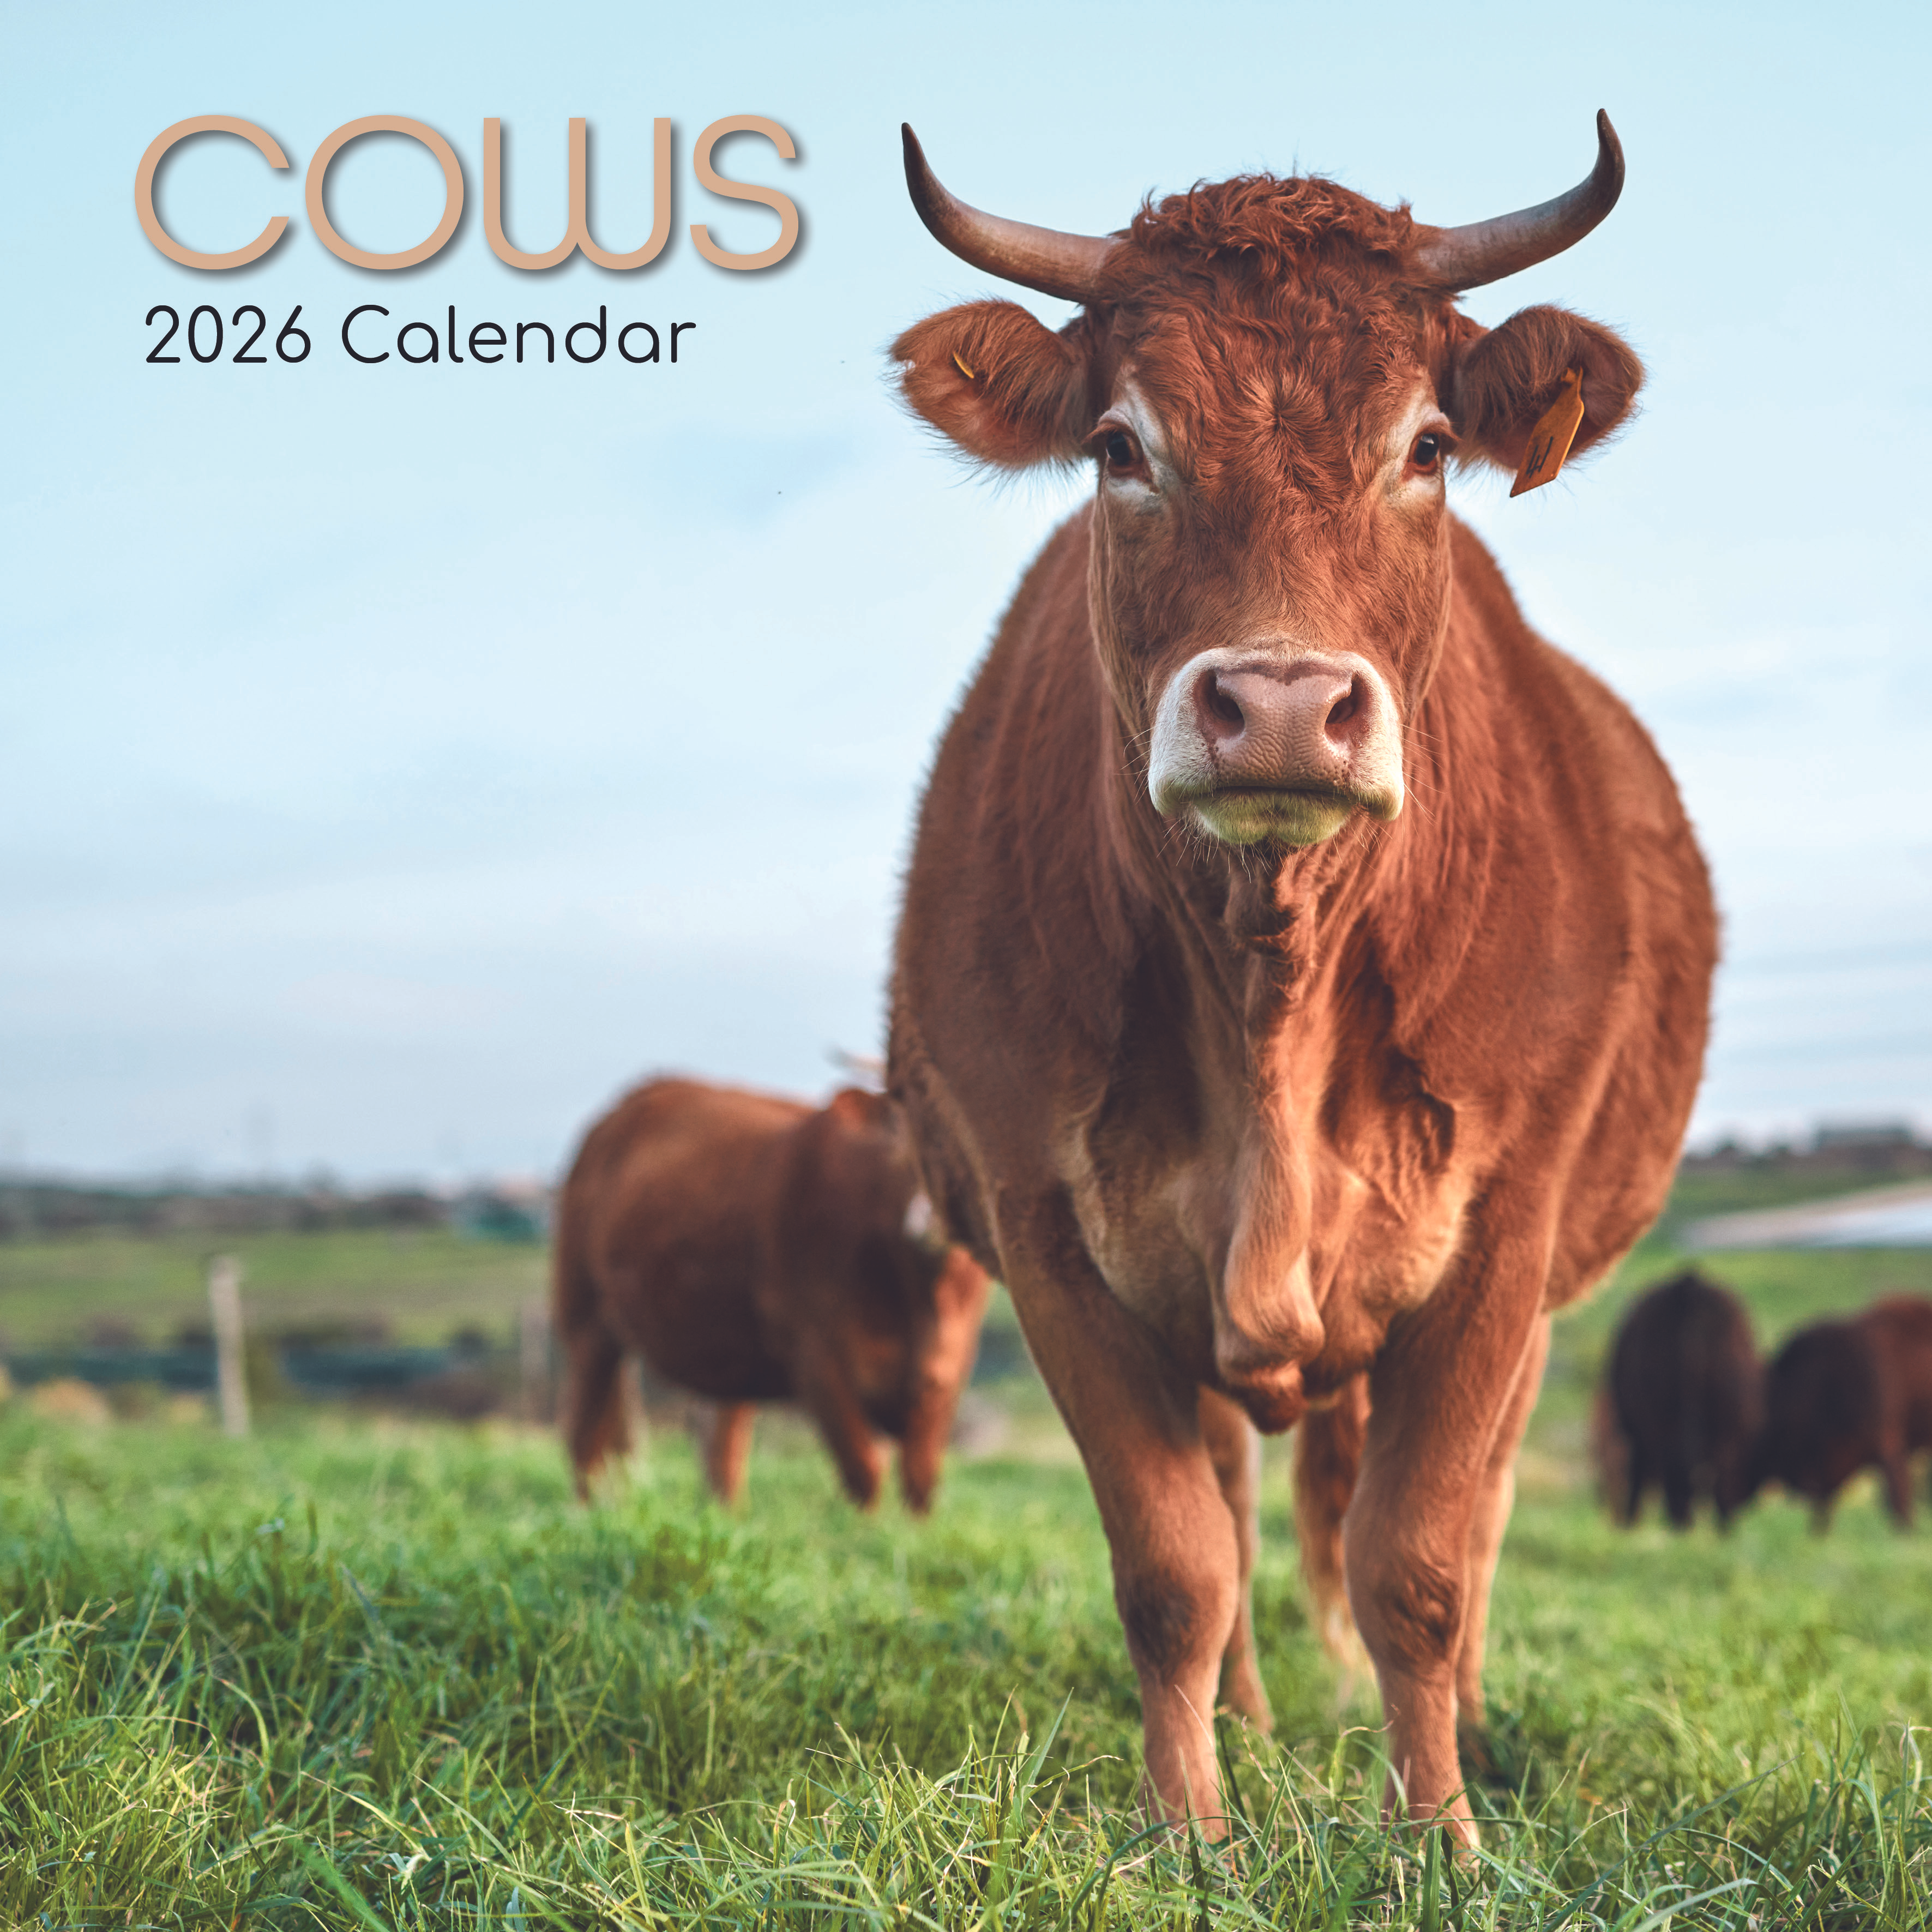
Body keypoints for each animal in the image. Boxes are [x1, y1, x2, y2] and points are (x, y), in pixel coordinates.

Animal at [553, 1076, 991, 1510]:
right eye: (901, 1138)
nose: (933, 1219)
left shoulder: (949, 1369)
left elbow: (921, 1480)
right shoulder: (815, 1353)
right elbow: (864, 1471)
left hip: (726, 1353)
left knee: (720, 1446)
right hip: (585, 1320)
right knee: (585, 1437)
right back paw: (586, 1512)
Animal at [883, 114, 1716, 1839]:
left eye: (1426, 445)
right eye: (1118, 446)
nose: (1275, 705)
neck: (1270, 981)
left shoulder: (1502, 1237)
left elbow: (1417, 1564)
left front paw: (1438, 1835)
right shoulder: (1049, 1234)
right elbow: (1173, 1565)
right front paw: (1190, 1831)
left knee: (1466, 1518)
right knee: (1241, 1502)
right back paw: (1256, 1725)